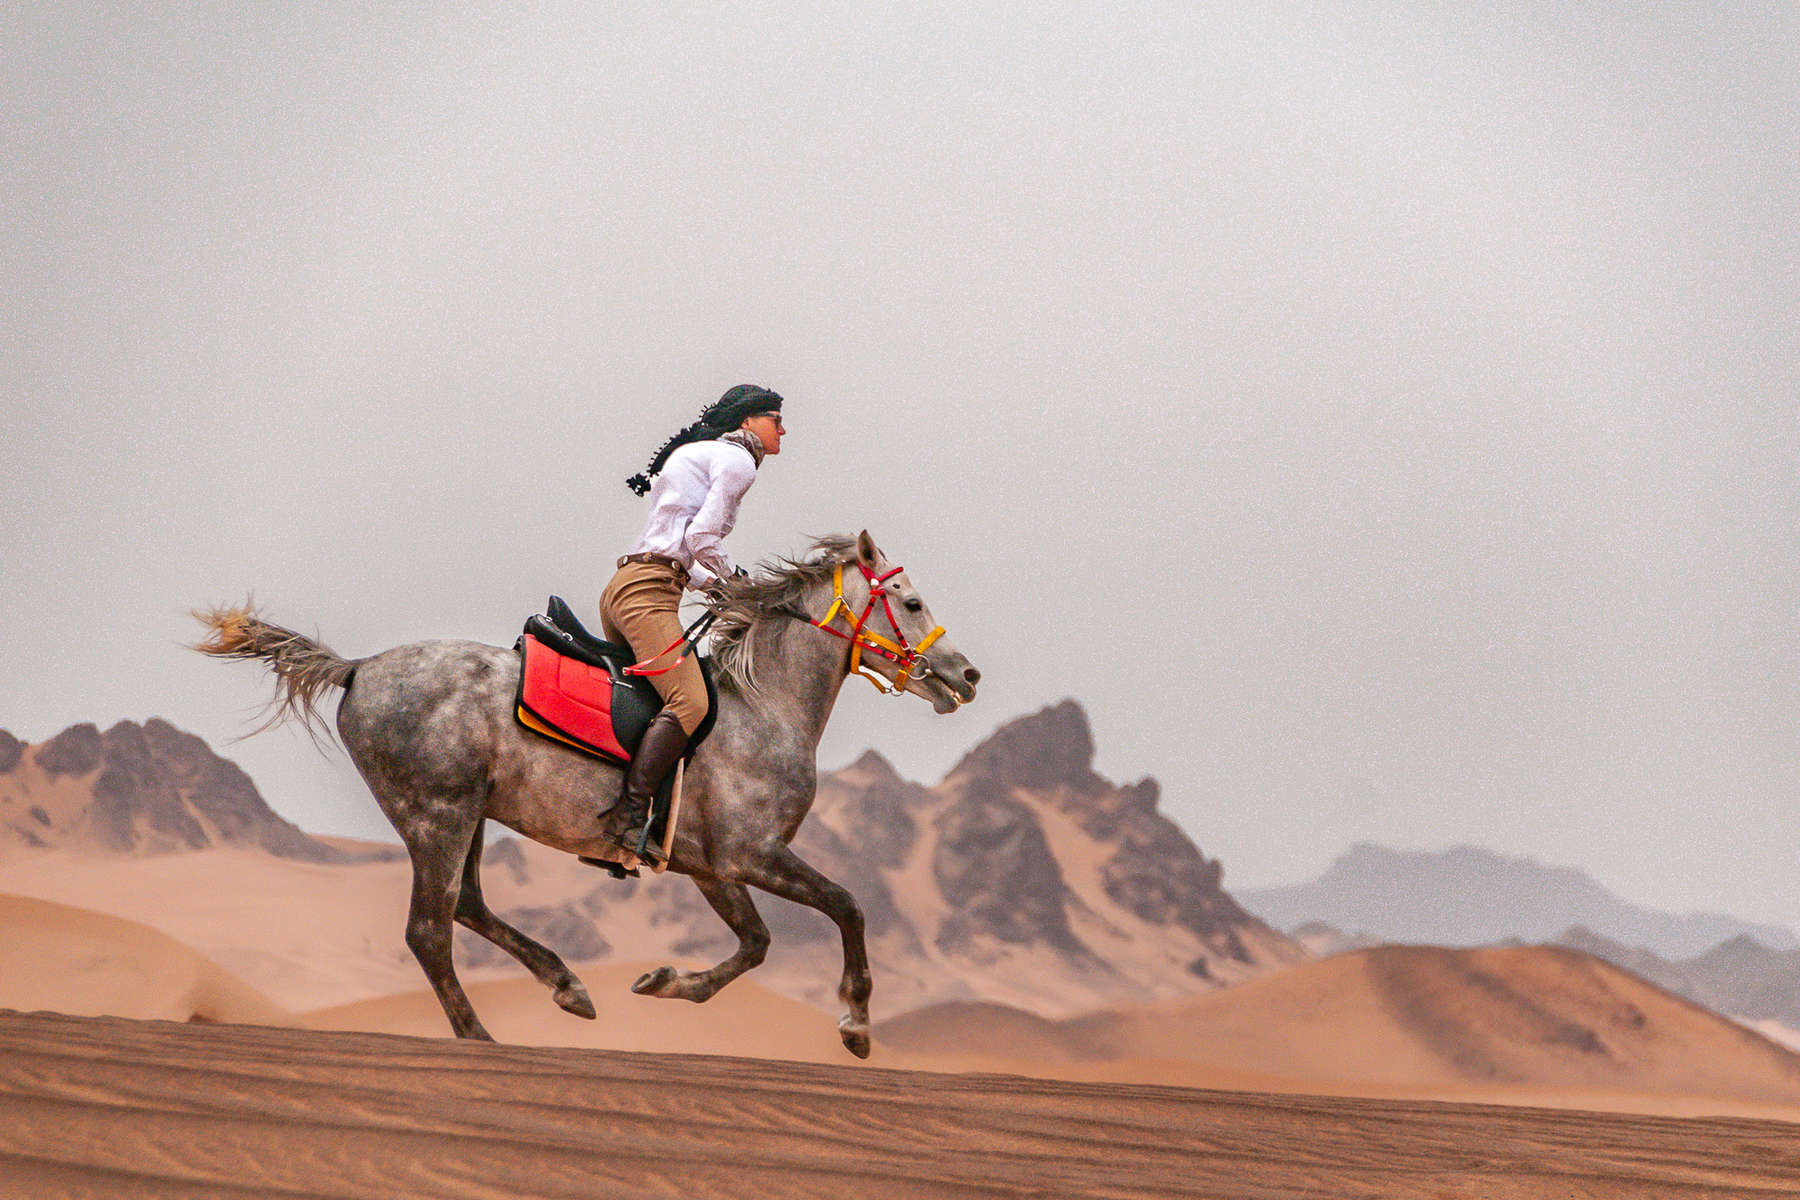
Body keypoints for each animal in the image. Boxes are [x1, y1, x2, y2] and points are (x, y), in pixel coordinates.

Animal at [194, 532, 978, 1057]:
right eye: (911, 601)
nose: (966, 675)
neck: (765, 705)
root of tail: (357, 669)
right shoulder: (752, 854)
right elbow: (847, 906)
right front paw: (855, 1022)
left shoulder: (710, 866)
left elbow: (755, 945)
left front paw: (665, 982)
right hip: (438, 816)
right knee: (429, 931)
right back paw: (480, 1035)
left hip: (467, 816)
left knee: (467, 906)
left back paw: (567, 986)